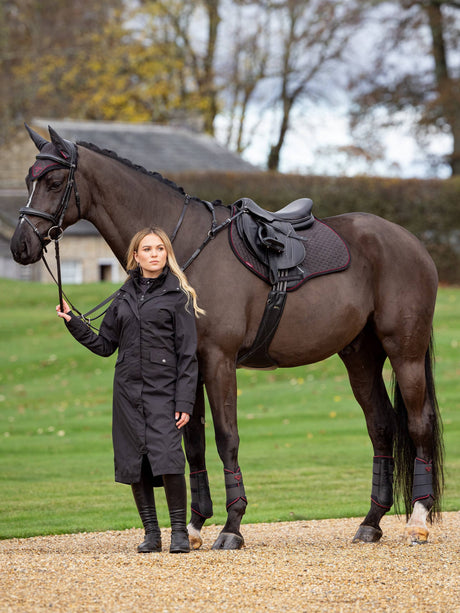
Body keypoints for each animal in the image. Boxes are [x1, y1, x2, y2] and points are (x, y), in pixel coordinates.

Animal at [9, 125, 442, 548]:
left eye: (53, 180)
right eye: (29, 179)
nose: (19, 245)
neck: (184, 248)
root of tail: (411, 242)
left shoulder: (219, 360)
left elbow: (225, 437)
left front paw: (232, 525)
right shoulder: (192, 365)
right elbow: (194, 442)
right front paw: (195, 525)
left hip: (405, 352)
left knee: (418, 424)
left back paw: (418, 520)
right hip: (360, 356)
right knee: (382, 426)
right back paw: (370, 522)